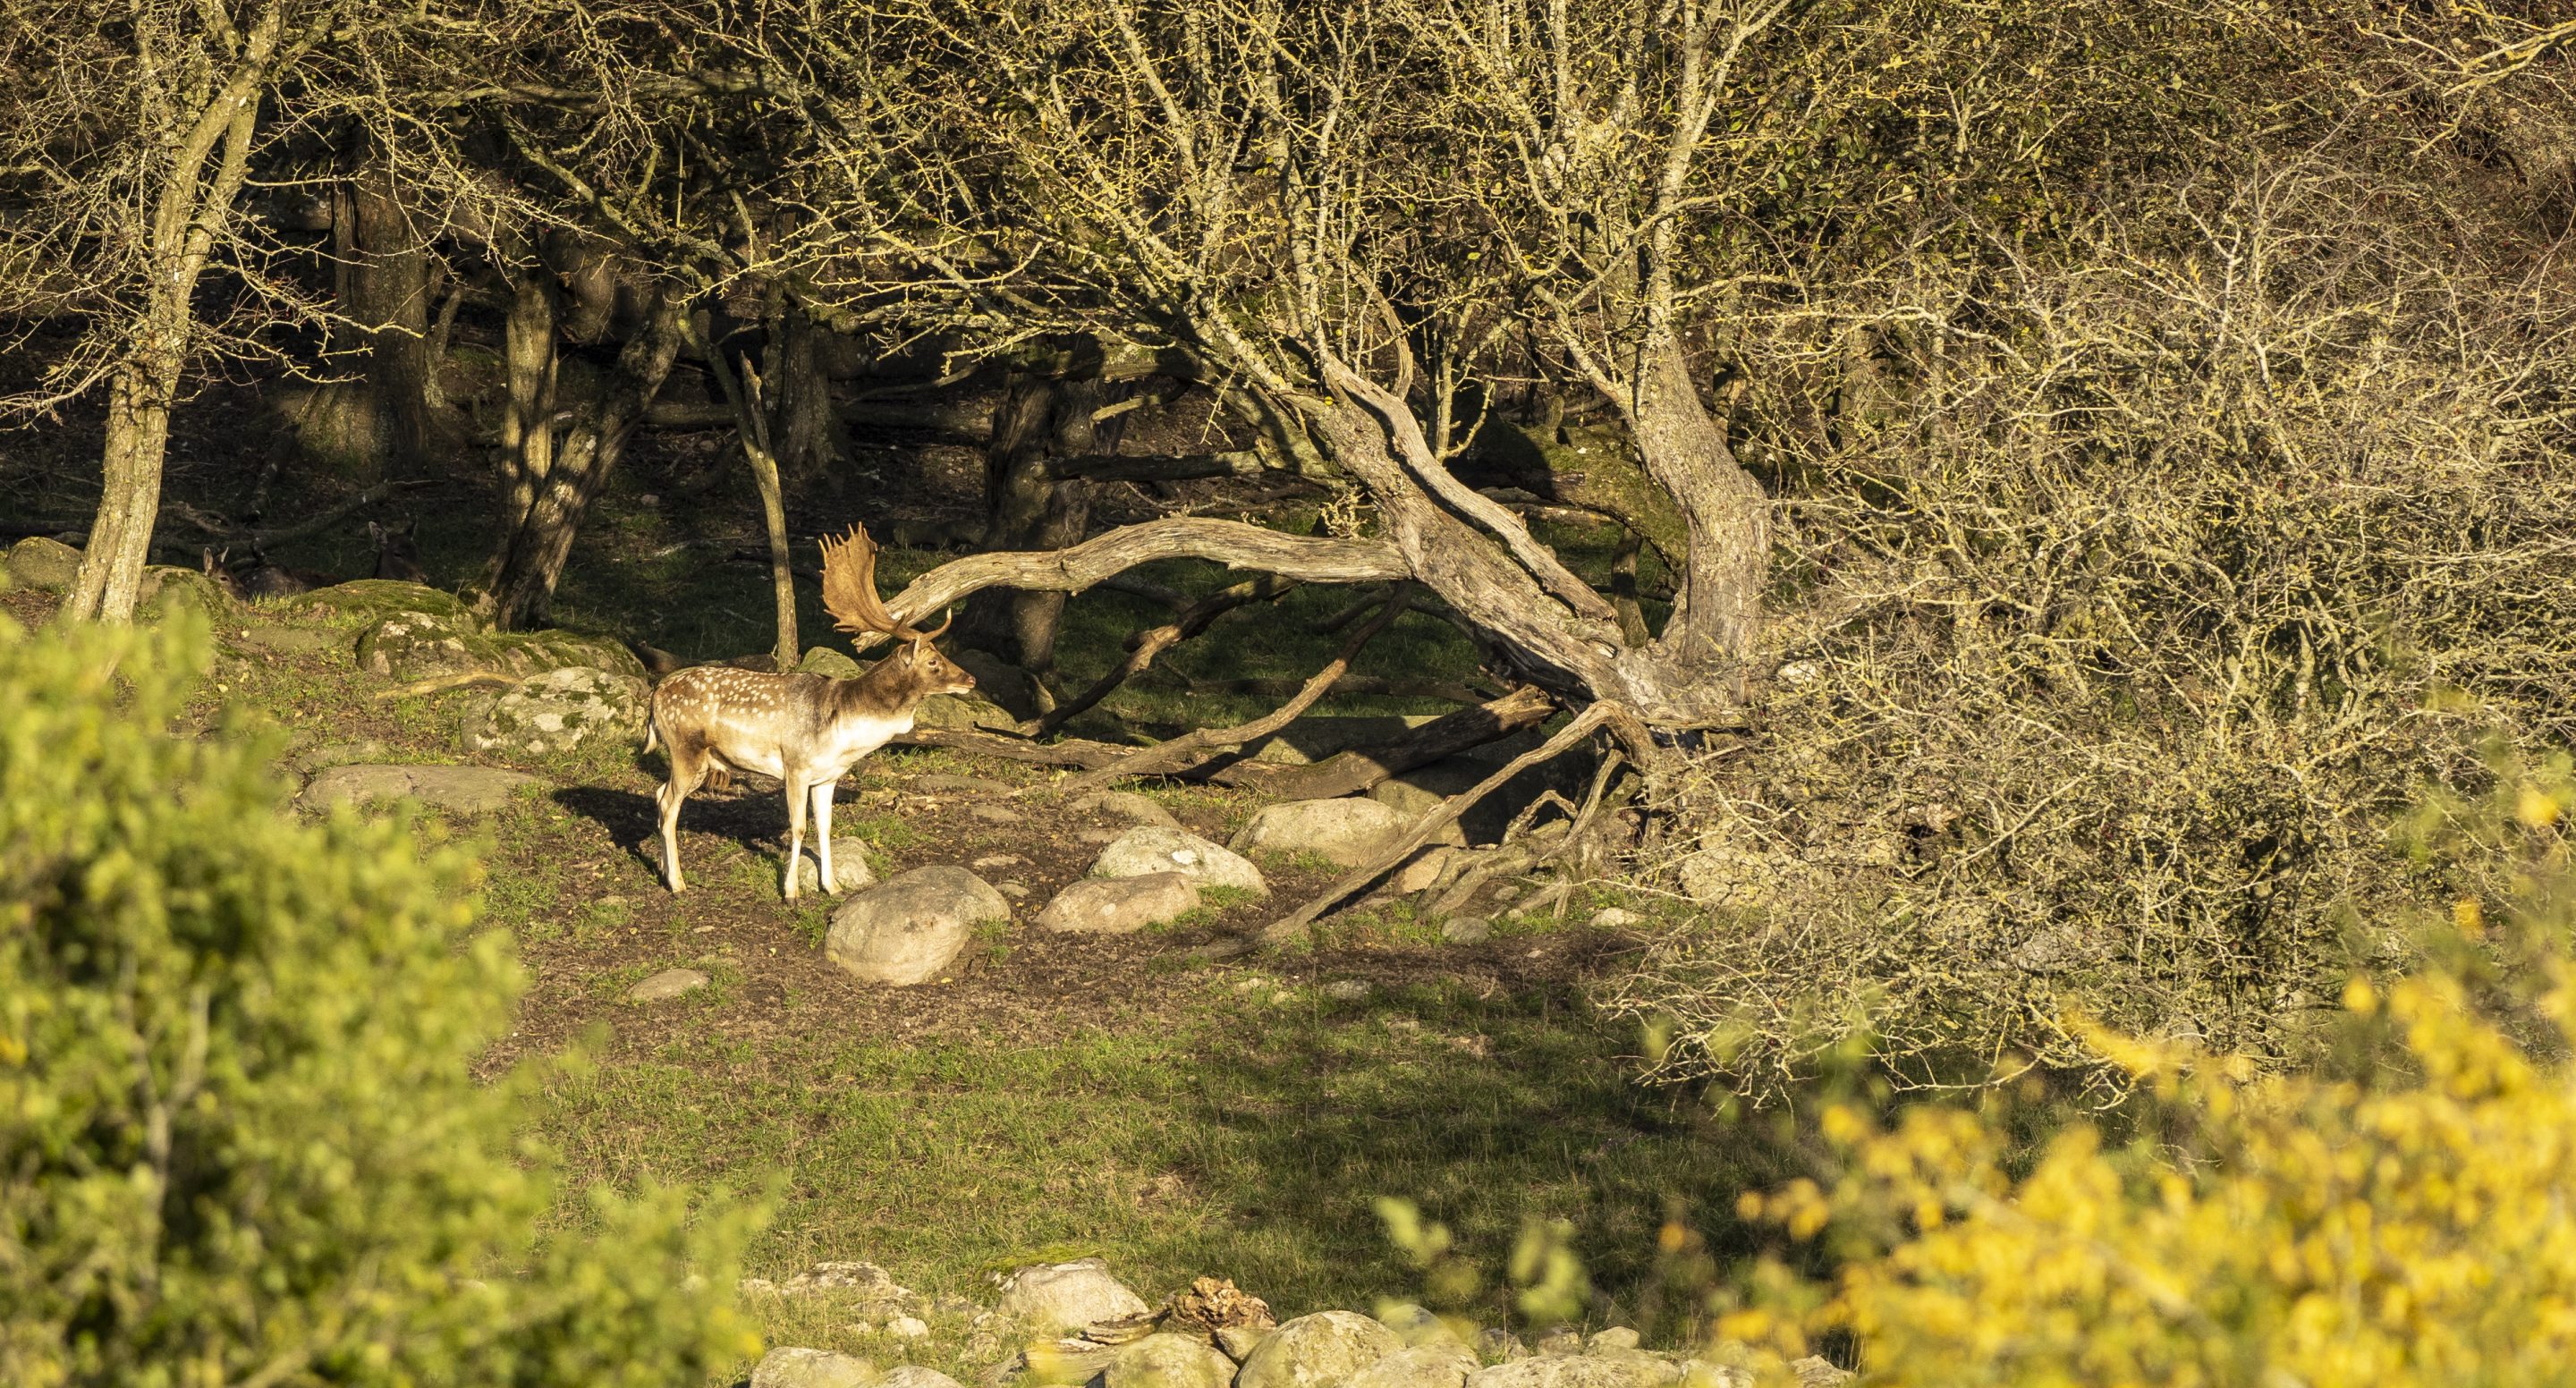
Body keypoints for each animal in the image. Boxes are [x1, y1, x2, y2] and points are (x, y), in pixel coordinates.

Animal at [639, 525, 968, 901]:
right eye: (933, 662)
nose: (970, 679)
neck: (844, 731)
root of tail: (655, 697)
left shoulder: (827, 777)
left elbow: (825, 828)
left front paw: (833, 886)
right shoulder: (795, 766)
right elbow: (797, 828)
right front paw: (791, 892)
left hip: (699, 760)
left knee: (659, 795)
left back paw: (665, 872)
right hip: (686, 749)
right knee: (669, 806)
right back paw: (678, 884)